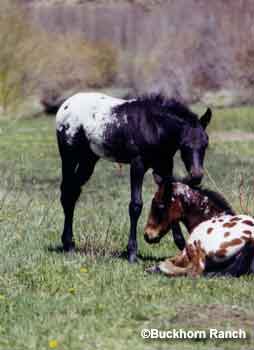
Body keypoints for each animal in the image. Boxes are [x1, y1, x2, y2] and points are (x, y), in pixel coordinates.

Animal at [56, 93, 212, 262]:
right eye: (184, 145)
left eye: (205, 143)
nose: (196, 176)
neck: (154, 127)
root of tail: (65, 104)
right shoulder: (137, 164)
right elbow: (135, 205)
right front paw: (132, 253)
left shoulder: (164, 167)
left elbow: (169, 200)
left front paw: (183, 247)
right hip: (69, 156)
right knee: (67, 193)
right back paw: (68, 245)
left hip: (88, 159)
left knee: (73, 191)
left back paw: (70, 244)